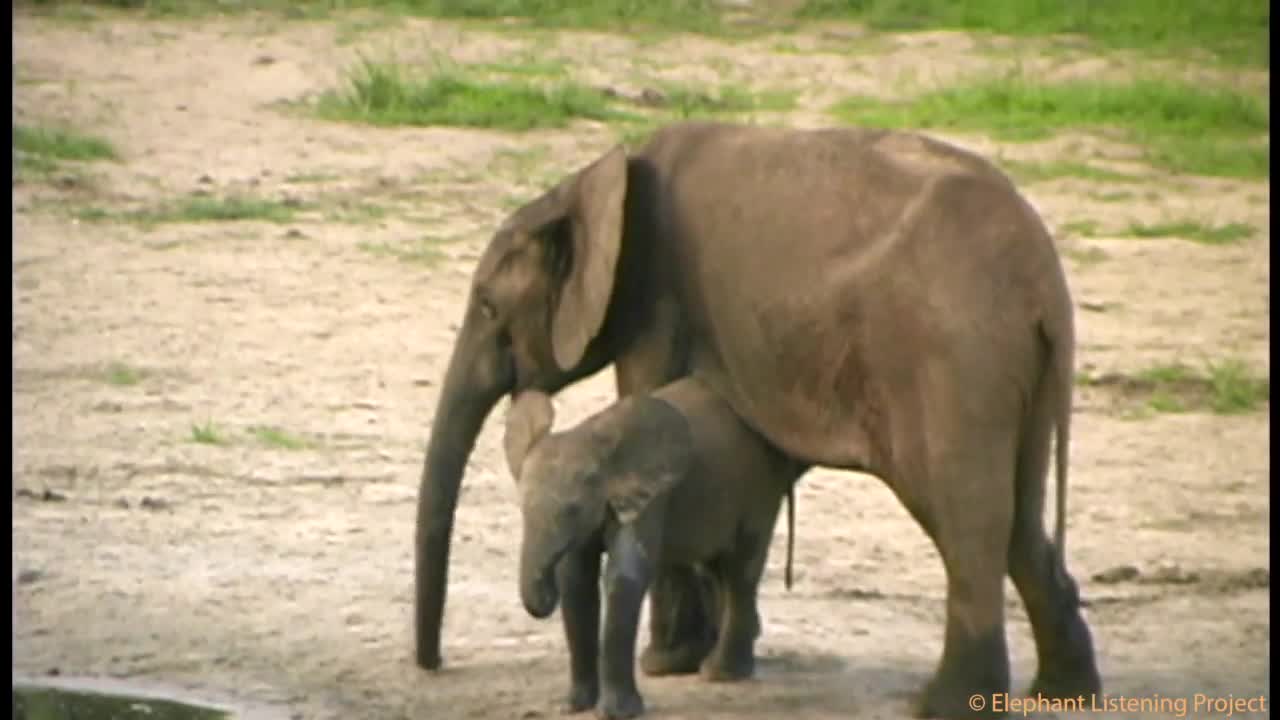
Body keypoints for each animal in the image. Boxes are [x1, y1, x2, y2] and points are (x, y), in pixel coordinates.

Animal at [504, 379, 803, 712]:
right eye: (521, 509)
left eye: (573, 510)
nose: (544, 598)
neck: (593, 441)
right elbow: (576, 582)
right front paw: (574, 707)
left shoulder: (652, 497)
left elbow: (625, 576)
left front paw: (619, 713)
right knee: (715, 567)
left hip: (760, 488)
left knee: (741, 568)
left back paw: (719, 674)